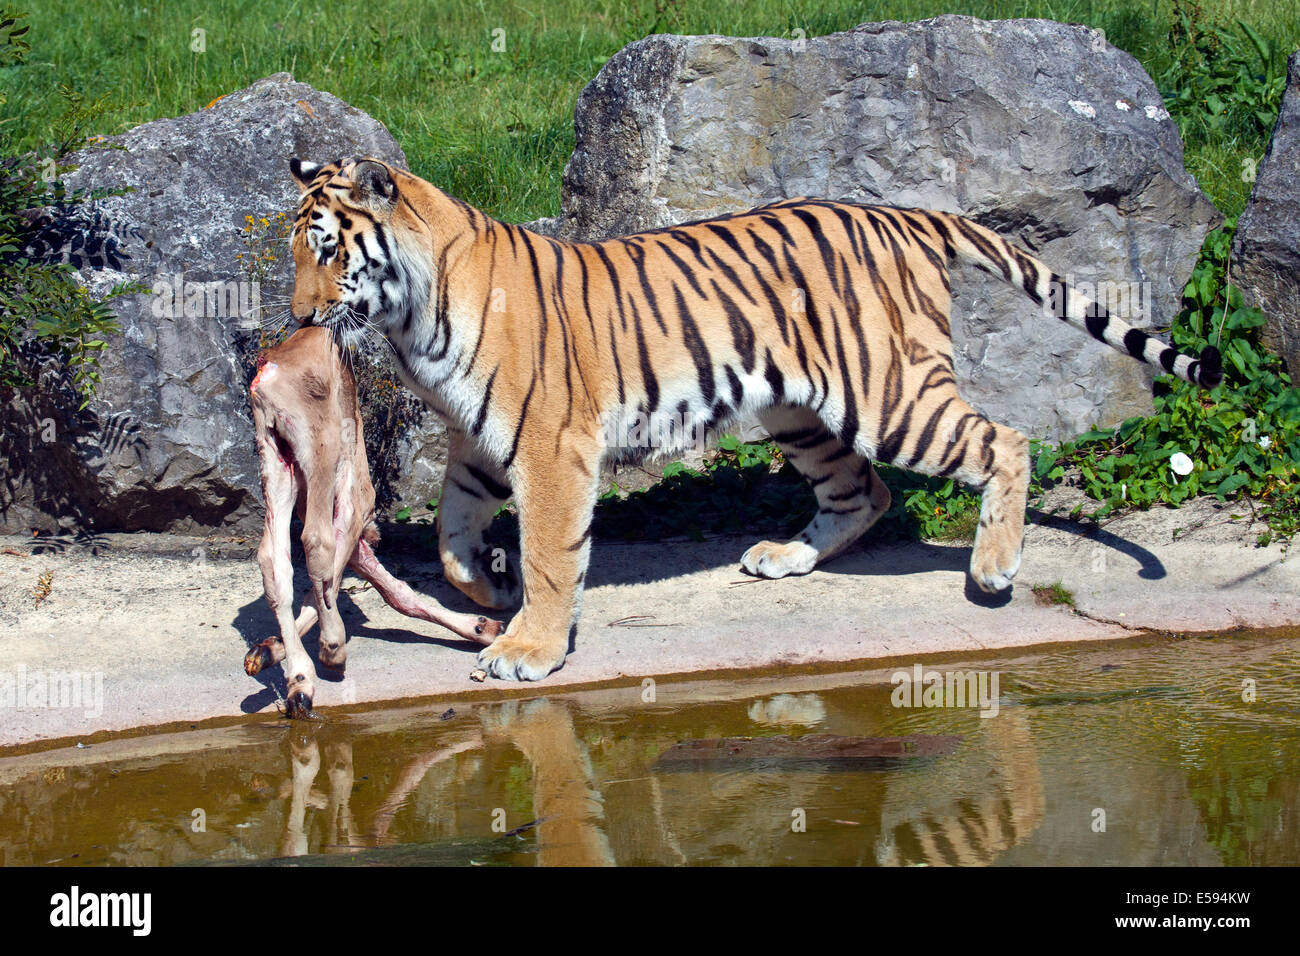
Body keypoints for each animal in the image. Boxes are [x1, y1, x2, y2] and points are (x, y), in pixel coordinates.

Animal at [282, 157, 1216, 686]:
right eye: (293, 250)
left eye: (328, 250)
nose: (295, 317)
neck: (411, 317)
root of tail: (906, 212)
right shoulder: (478, 440)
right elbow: (451, 535)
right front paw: (489, 589)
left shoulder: (551, 446)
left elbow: (552, 552)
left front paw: (527, 647)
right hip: (800, 411)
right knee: (864, 493)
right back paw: (785, 557)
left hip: (891, 396)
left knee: (1004, 440)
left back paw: (991, 568)